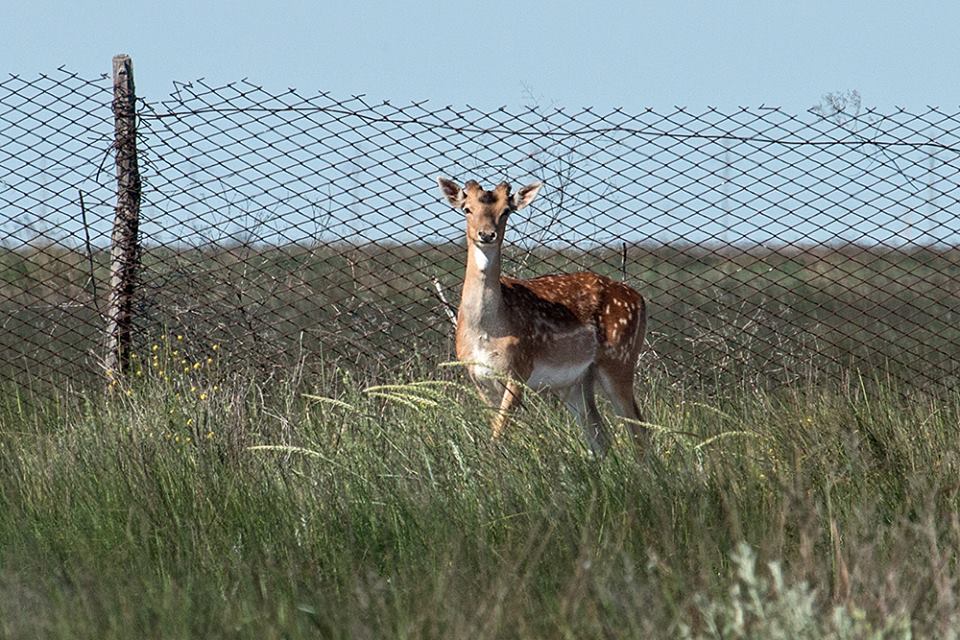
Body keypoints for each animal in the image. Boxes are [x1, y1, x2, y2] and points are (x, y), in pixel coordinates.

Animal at [438, 175, 648, 456]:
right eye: (467, 209)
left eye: (506, 211)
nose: (487, 234)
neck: (487, 331)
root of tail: (641, 300)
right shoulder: (477, 376)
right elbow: (494, 429)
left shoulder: (519, 368)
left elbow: (499, 434)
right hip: (575, 381)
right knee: (600, 434)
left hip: (620, 359)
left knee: (638, 430)